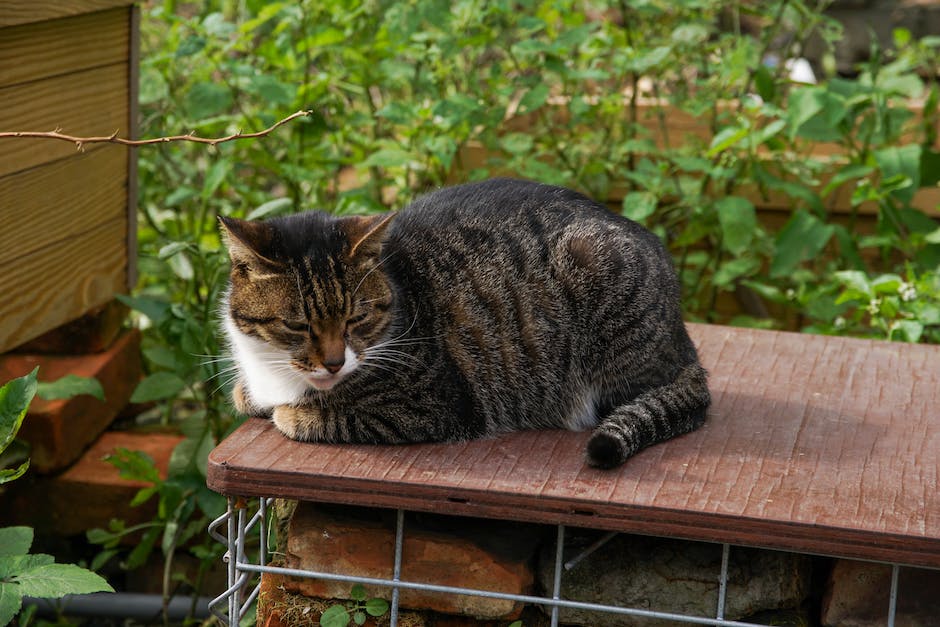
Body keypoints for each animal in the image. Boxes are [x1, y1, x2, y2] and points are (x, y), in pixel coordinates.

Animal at [218, 177, 704, 466]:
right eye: (298, 326)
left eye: (357, 319)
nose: (335, 362)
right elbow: (245, 396)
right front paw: (253, 395)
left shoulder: (435, 406)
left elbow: (322, 415)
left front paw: (292, 413)